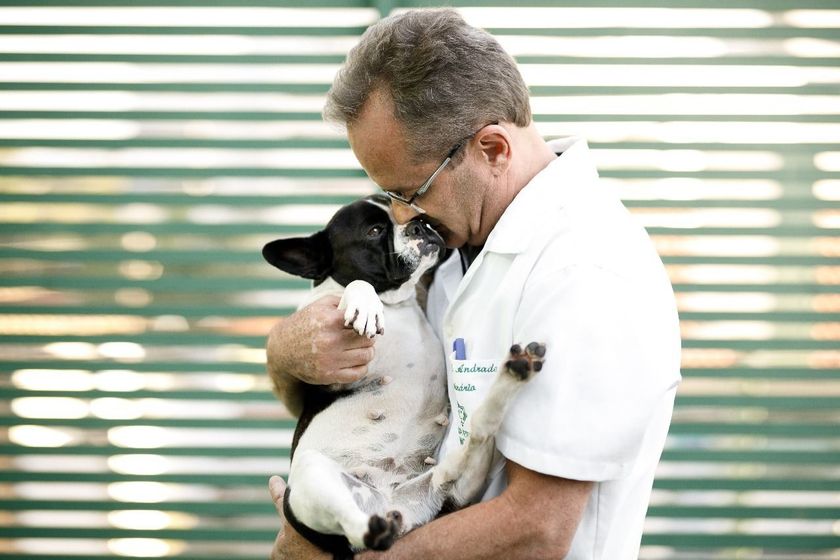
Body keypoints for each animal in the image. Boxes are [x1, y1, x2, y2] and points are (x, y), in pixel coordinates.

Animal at [263, 194, 545, 559]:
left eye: (413, 216)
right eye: (374, 230)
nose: (418, 226)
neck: (394, 305)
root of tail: (390, 503)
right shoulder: (331, 371)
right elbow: (358, 283)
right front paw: (363, 304)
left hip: (455, 482)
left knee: (479, 435)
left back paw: (515, 372)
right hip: (312, 475)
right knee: (357, 526)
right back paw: (374, 528)